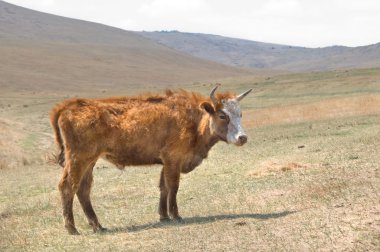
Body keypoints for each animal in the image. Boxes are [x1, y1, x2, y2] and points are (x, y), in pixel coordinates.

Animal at [50, 84, 252, 234]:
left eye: (240, 114)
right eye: (223, 115)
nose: (242, 138)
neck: (193, 120)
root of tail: (71, 105)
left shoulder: (167, 162)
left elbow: (163, 187)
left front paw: (163, 216)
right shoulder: (173, 159)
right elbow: (173, 186)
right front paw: (176, 215)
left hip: (90, 161)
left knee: (83, 189)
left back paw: (98, 226)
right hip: (78, 159)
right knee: (67, 186)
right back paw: (71, 228)